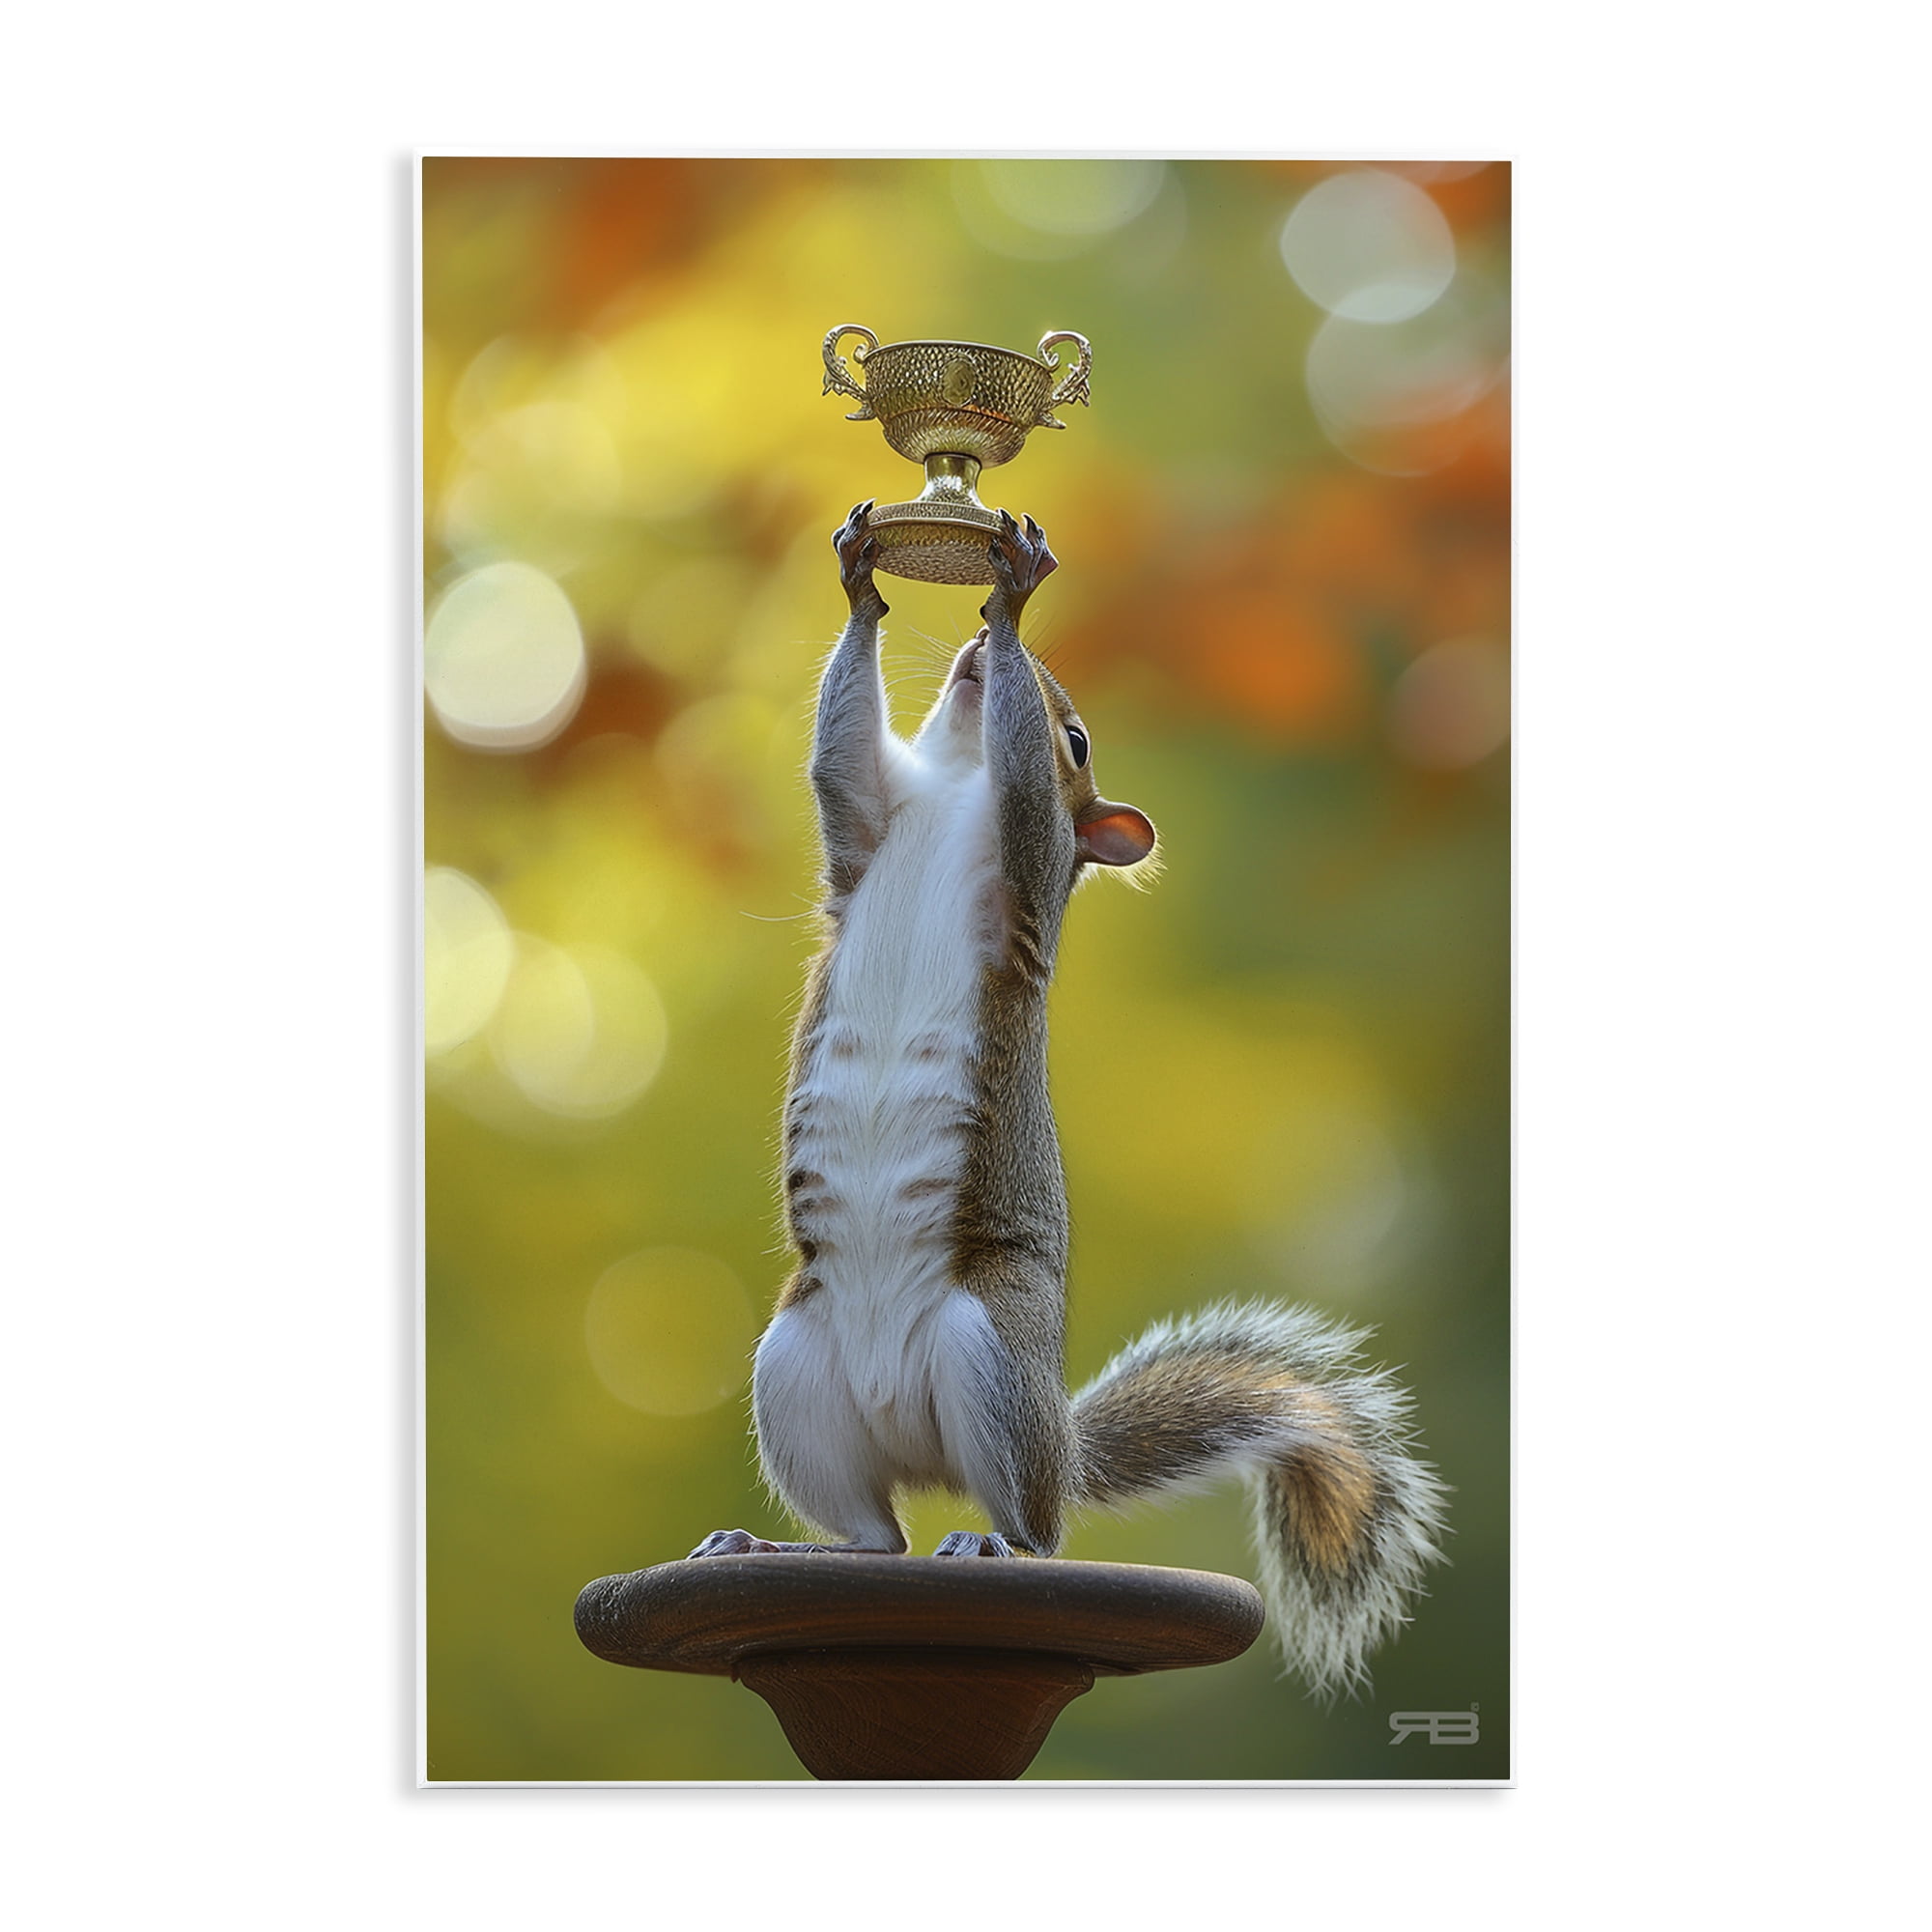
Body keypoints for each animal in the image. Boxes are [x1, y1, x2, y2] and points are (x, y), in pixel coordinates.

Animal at [688, 503, 1448, 1696]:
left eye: (1080, 741)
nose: (973, 653)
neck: (950, 788)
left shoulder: (1028, 854)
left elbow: (1021, 792)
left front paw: (1011, 599)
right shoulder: (865, 826)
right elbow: (838, 757)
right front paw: (864, 583)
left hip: (989, 1350)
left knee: (1029, 1534)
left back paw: (992, 1544)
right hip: (795, 1373)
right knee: (876, 1539)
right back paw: (776, 1546)